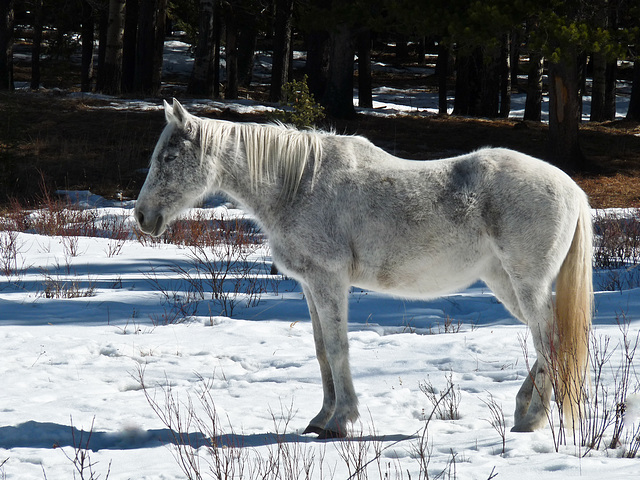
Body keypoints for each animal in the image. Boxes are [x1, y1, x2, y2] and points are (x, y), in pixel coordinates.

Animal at [136, 98, 596, 438]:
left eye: (170, 156)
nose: (142, 217)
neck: (298, 184)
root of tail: (572, 190)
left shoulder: (329, 281)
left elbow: (338, 347)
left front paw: (341, 420)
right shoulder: (310, 285)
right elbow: (322, 351)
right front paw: (321, 418)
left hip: (527, 283)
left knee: (550, 340)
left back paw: (533, 419)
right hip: (506, 283)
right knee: (548, 340)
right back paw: (522, 410)